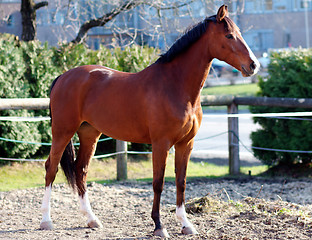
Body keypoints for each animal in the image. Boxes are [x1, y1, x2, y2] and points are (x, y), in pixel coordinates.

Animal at [40, 4, 260, 237]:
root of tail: (62, 77)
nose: (253, 65)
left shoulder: (186, 144)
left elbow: (181, 182)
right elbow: (158, 183)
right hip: (62, 132)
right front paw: (159, 226)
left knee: (80, 171)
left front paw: (186, 224)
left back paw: (92, 219)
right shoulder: (161, 144)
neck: (174, 85)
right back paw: (46, 220)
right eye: (229, 35)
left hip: (89, 133)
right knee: (51, 168)